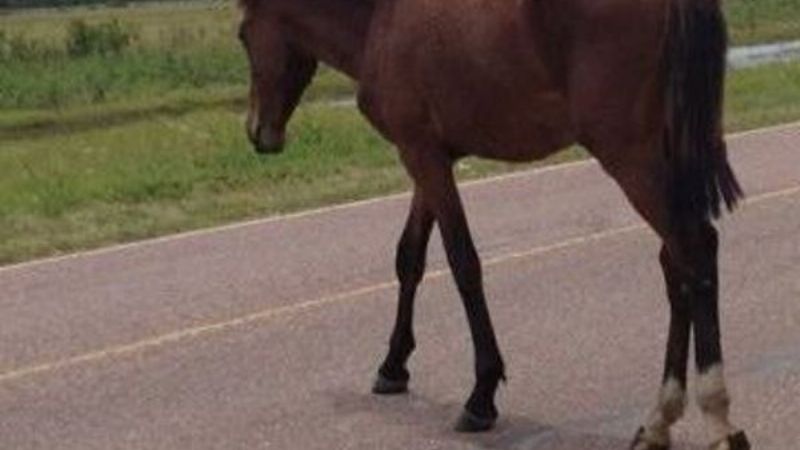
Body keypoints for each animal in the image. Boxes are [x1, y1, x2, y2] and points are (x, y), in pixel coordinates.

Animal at [236, 0, 750, 448]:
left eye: (242, 36)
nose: (258, 133)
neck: (381, 18)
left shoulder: (421, 155)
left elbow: (463, 263)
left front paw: (481, 395)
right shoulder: (431, 157)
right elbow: (410, 258)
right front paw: (393, 365)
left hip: (631, 158)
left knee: (693, 251)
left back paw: (716, 418)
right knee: (675, 266)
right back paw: (657, 423)